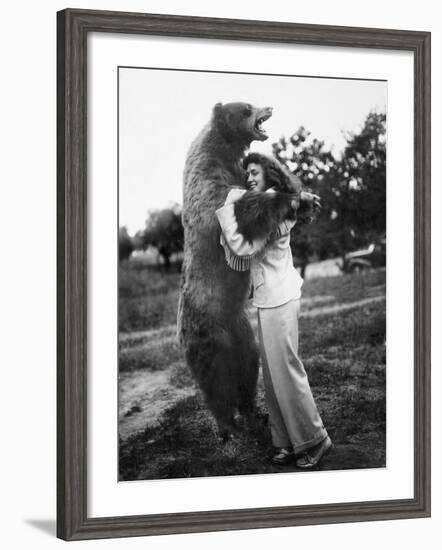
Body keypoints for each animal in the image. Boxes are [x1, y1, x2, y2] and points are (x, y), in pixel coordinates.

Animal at [178, 102, 298, 440]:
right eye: (246, 107)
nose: (268, 106)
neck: (222, 149)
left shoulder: (235, 172)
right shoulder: (208, 185)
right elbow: (236, 208)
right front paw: (288, 196)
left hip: (241, 328)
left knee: (248, 365)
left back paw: (253, 413)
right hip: (209, 332)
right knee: (216, 381)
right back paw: (227, 425)